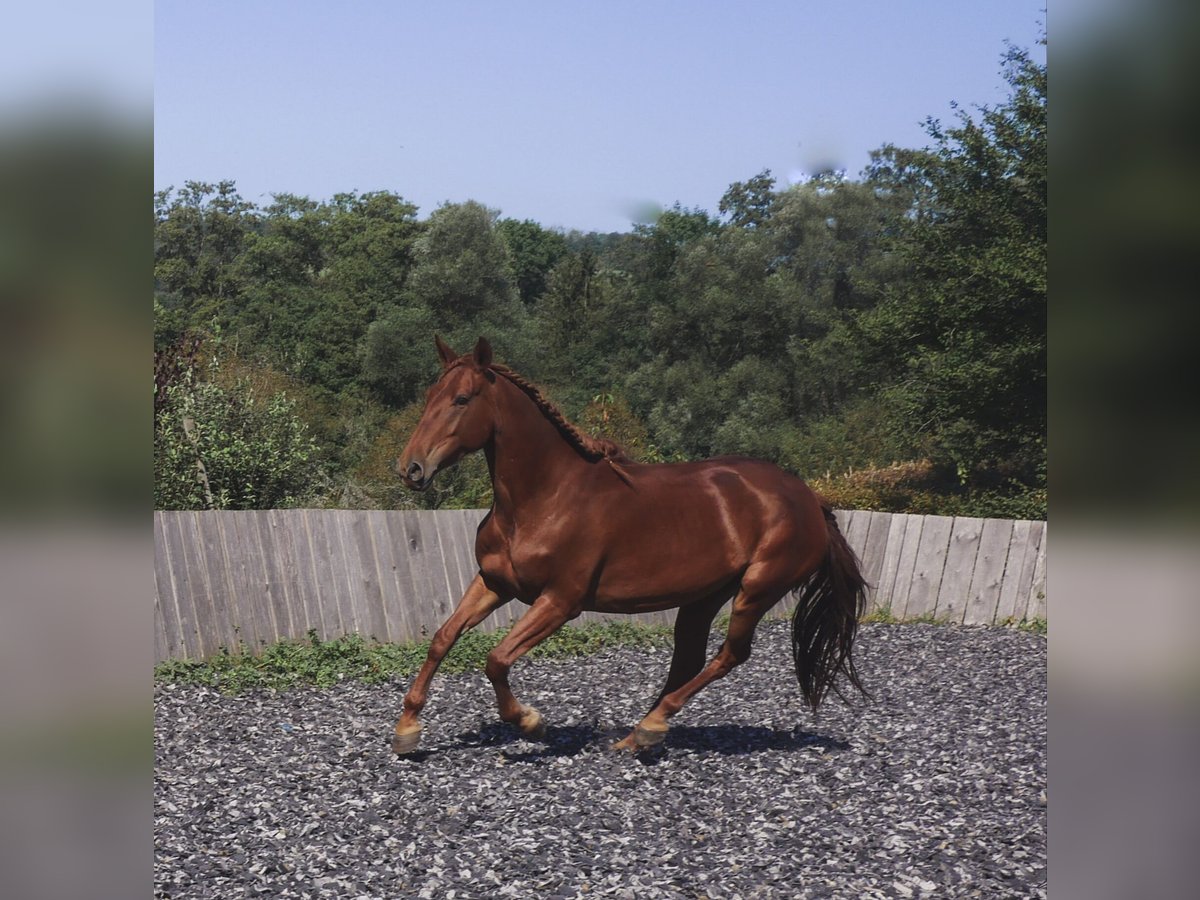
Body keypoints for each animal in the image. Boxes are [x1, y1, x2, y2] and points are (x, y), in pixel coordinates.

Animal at [388, 338, 868, 753]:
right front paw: (407, 730)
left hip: (757, 590)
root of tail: (811, 501)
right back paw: (637, 734)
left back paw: (650, 726)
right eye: (430, 394)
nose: (411, 468)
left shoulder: (560, 601)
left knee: (730, 654)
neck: (543, 498)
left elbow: (497, 659)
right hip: (705, 596)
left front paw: (531, 721)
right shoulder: (494, 583)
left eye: (462, 399)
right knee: (689, 659)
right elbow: (443, 638)